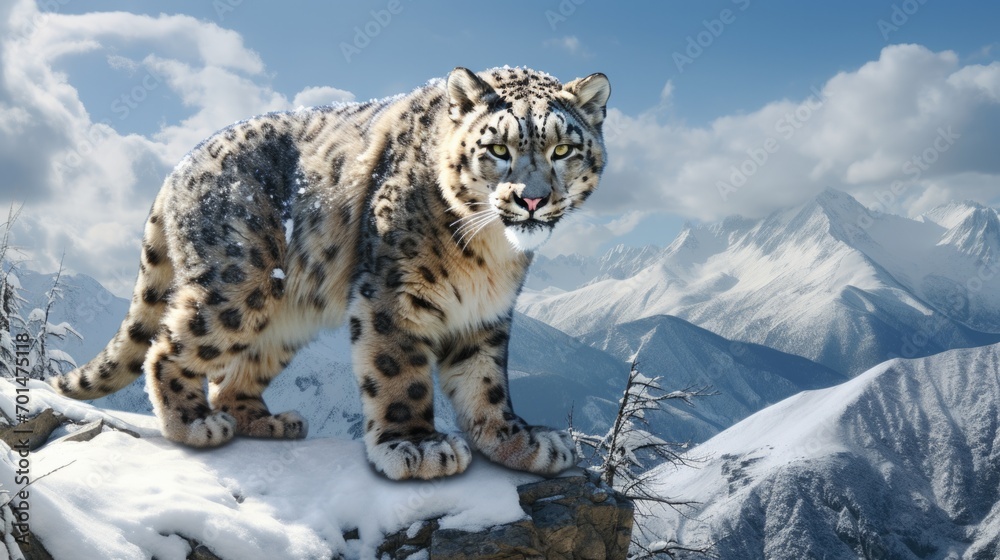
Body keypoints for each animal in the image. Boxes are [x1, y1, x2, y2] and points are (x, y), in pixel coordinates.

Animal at [52, 66, 611, 480]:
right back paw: (194, 425)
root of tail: (178, 167)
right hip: (237, 281)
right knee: (169, 347)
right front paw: (417, 447)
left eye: (563, 149)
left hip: (285, 314)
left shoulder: (485, 312)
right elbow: (398, 369)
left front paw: (519, 442)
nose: (532, 200)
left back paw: (271, 422)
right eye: (498, 148)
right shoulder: (392, 292)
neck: (489, 256)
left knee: (233, 377)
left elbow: (487, 381)